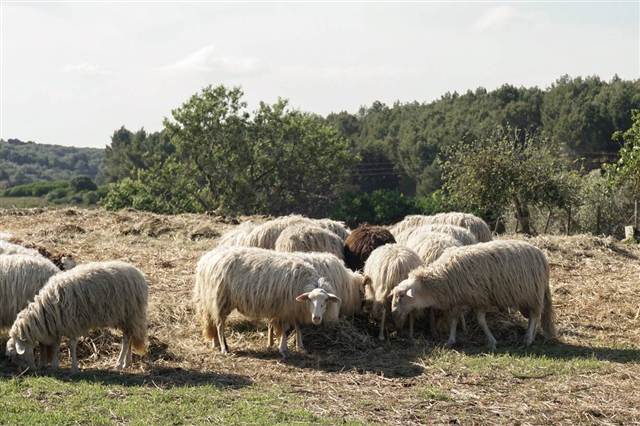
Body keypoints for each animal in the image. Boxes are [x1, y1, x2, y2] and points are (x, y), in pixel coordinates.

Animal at [6, 261, 149, 371]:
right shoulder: (59, 323)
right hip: (126, 318)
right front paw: (55, 365)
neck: (45, 310)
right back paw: (127, 362)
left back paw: (119, 364)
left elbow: (72, 345)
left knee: (126, 340)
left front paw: (74, 367)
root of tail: (140, 276)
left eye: (16, 355)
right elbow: (56, 344)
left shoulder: (72, 322)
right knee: (129, 337)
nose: (26, 370)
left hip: (130, 314)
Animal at [193, 246, 341, 357]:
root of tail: (207, 259)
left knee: (213, 321)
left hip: (211, 300)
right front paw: (283, 349)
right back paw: (224, 348)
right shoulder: (285, 309)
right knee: (220, 325)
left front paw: (300, 346)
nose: (316, 318)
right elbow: (285, 330)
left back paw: (217, 344)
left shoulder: (293, 309)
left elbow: (298, 326)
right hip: (221, 299)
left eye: (325, 301)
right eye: (310, 300)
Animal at [391, 240, 556, 350]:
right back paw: (530, 336)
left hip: (532, 293)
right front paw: (450, 340)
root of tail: (541, 255)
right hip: (526, 297)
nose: (393, 311)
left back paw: (528, 339)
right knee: (533, 317)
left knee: (535, 316)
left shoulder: (480, 298)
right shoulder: (458, 300)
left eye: (402, 296)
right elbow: (454, 320)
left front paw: (492, 341)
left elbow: (481, 321)